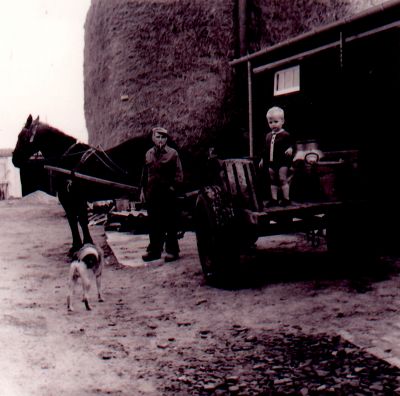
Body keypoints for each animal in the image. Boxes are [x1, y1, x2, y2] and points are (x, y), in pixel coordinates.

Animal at [12, 114, 152, 254]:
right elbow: (77, 220)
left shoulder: (71, 198)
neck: (68, 158)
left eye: (22, 137)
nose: (14, 159)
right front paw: (80, 244)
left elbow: (76, 220)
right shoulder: (75, 198)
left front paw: (81, 245)